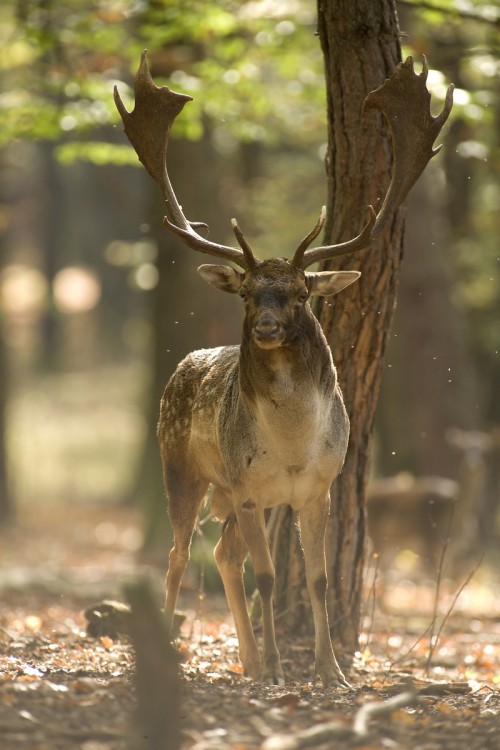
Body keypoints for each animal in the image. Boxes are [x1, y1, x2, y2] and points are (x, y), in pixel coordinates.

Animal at [114, 50, 454, 692]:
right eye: (248, 294)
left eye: (300, 293)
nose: (267, 327)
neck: (294, 447)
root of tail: (181, 367)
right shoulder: (249, 487)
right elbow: (269, 577)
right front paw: (277, 667)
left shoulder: (317, 487)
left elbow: (315, 579)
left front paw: (327, 670)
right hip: (187, 471)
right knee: (177, 556)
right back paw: (182, 651)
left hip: (241, 496)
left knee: (224, 554)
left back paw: (247, 657)